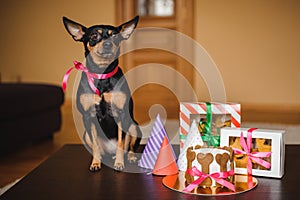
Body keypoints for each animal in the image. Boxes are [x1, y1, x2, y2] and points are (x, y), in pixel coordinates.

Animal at [62, 16, 142, 172]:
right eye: (94, 36)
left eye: (115, 36)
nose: (107, 44)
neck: (101, 74)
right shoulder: (88, 116)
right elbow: (96, 145)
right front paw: (95, 163)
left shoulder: (121, 114)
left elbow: (121, 143)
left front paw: (119, 163)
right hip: (86, 135)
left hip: (133, 126)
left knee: (129, 146)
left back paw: (129, 157)